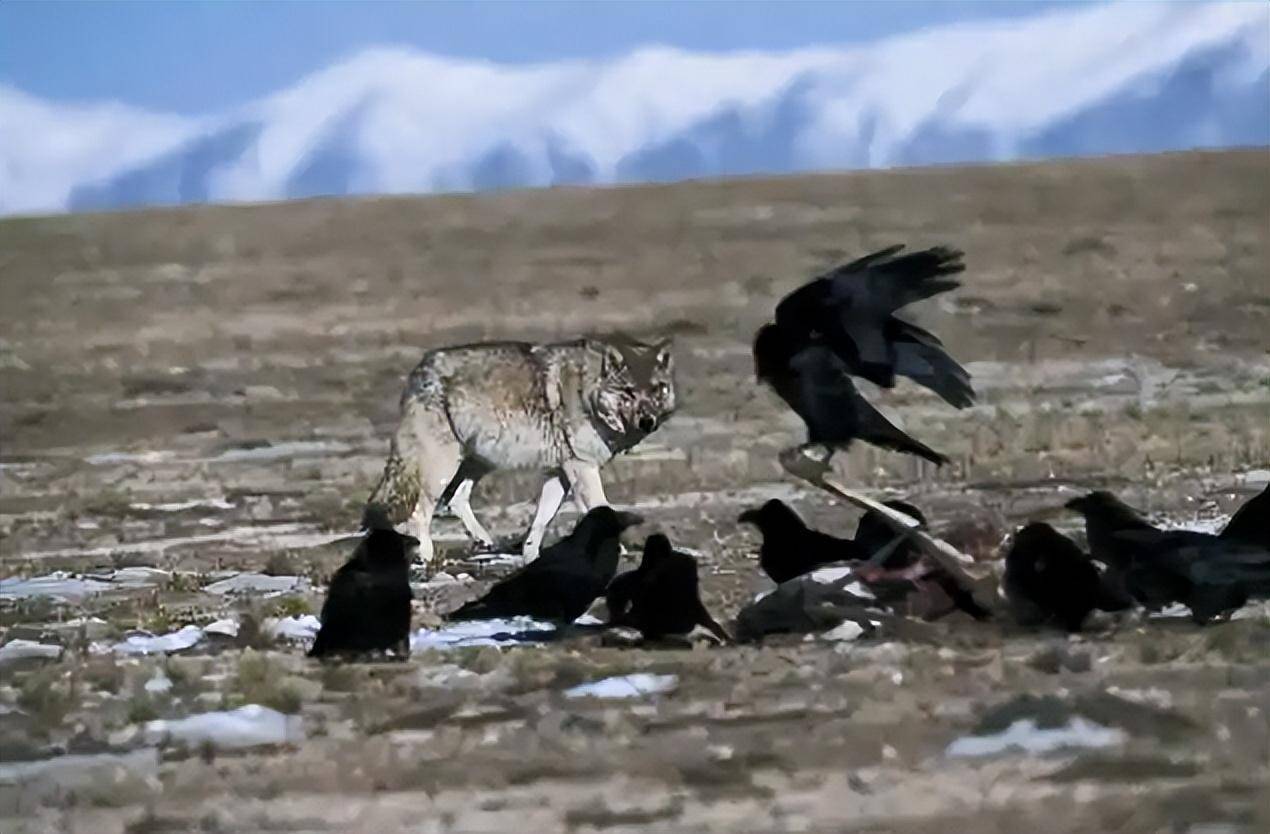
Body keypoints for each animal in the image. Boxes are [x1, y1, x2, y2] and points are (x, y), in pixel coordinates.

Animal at [368, 335, 675, 563]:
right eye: (629, 392)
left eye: (657, 389)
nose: (647, 421)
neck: (587, 392)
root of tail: (420, 368)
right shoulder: (582, 467)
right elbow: (600, 508)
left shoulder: (560, 473)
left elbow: (542, 520)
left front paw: (530, 556)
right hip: (442, 466)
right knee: (420, 512)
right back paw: (427, 556)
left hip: (479, 460)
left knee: (455, 498)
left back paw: (484, 541)